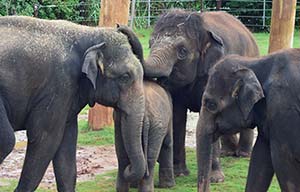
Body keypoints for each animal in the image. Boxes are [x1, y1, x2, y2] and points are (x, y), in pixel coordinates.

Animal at [0, 15, 146, 191]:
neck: (88, 33)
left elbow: (66, 151)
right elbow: (45, 139)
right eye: (125, 77)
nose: (127, 168)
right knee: (7, 141)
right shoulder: (58, 86)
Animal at [132, 8, 258, 180]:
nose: (119, 27)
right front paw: (179, 174)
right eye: (150, 44)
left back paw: (243, 154)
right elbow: (178, 115)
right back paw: (227, 153)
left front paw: (215, 178)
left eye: (182, 51)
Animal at [197, 48, 300, 192]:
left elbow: (284, 161)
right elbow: (260, 157)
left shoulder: (283, 108)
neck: (251, 62)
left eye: (211, 105)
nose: (215, 182)